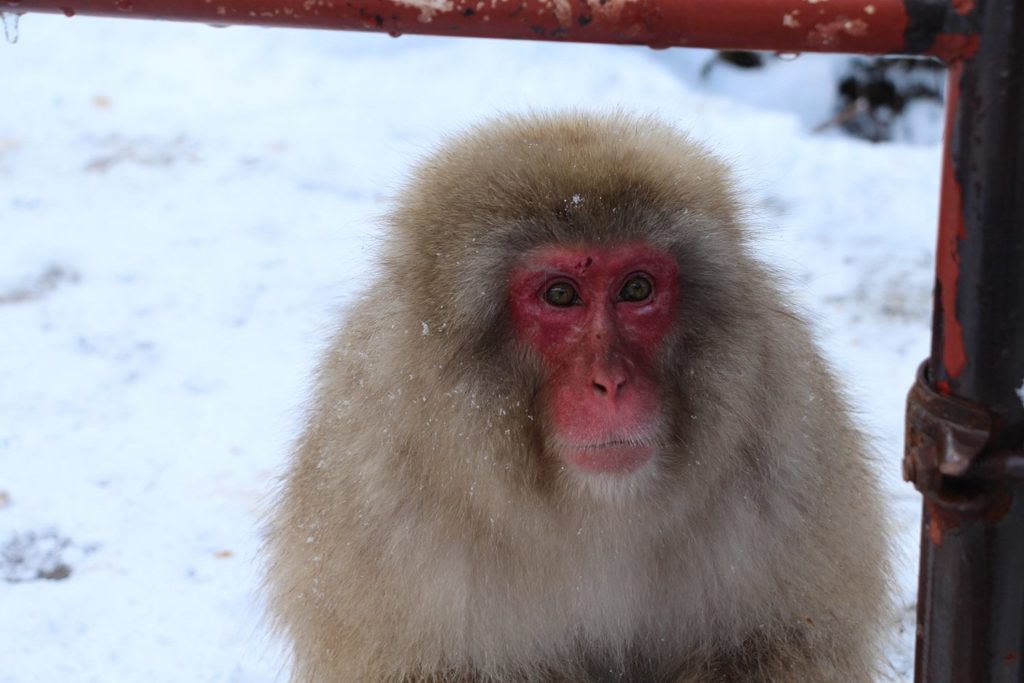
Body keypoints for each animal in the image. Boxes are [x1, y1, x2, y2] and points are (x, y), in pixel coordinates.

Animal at [262, 113, 888, 683]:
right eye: (561, 295)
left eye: (636, 288)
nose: (610, 383)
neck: (596, 508)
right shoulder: (374, 495)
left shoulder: (788, 446)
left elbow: (779, 646)